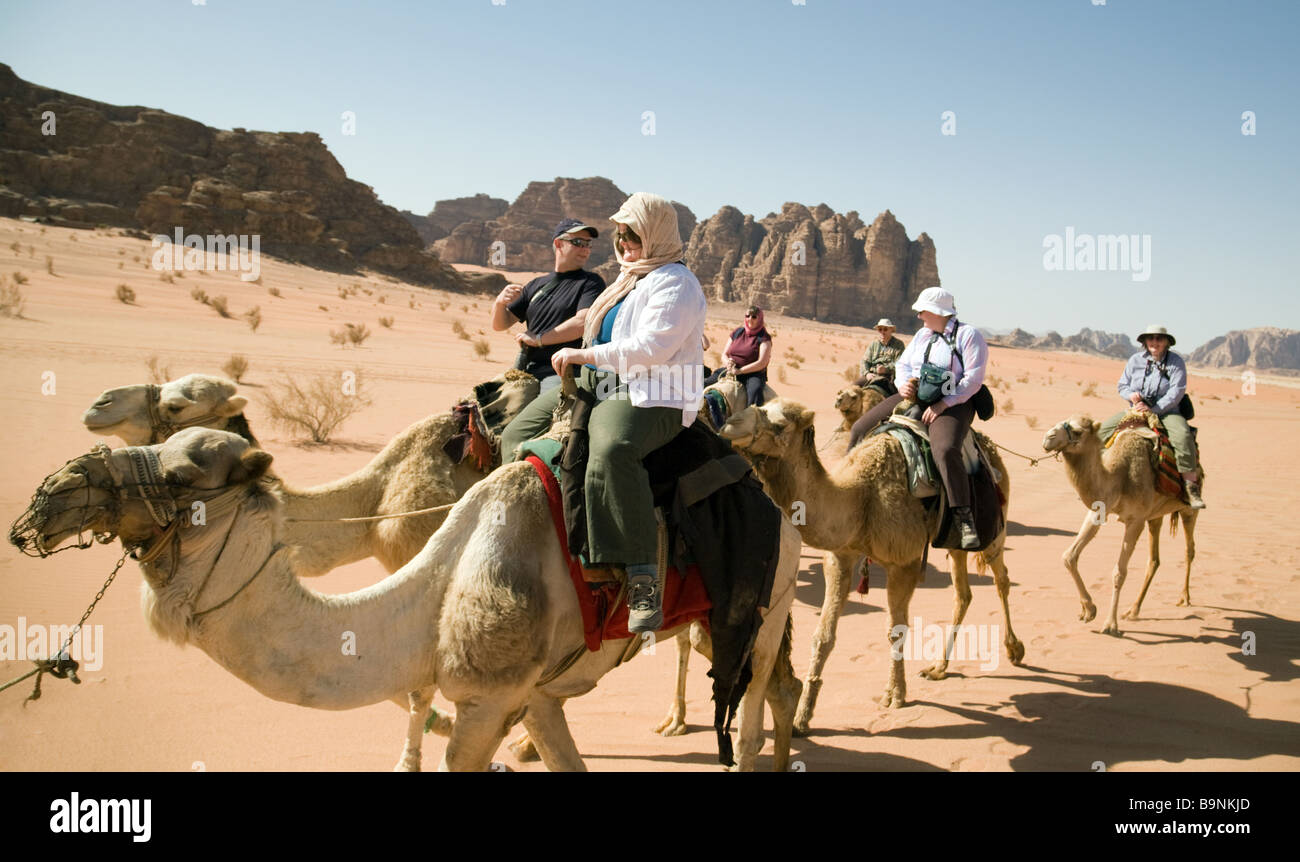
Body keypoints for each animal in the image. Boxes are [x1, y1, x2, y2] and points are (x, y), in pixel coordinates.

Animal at [12, 429, 800, 769]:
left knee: (756, 695)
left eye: (180, 475)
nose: (53, 494)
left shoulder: (487, 695)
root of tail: (770, 491)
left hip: (771, 596)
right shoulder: (529, 692)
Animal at [717, 395, 1019, 728]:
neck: (861, 497)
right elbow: (823, 635)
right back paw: (938, 668)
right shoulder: (840, 555)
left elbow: (895, 630)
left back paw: (1014, 649)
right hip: (953, 543)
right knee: (963, 593)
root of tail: (990, 449)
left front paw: (895, 695)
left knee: (1002, 578)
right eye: (761, 405)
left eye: (780, 424)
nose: (729, 424)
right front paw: (802, 715)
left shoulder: (904, 562)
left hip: (994, 527)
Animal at [1040, 416, 1201, 637]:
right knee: (1154, 560)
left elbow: (1119, 572)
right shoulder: (1099, 509)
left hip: (1187, 511)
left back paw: (1184, 598)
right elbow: (1069, 556)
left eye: (1078, 431)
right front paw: (1088, 610)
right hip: (1154, 517)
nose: (1048, 438)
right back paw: (1133, 610)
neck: (1118, 477)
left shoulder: (1135, 520)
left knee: (1189, 550)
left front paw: (1110, 624)